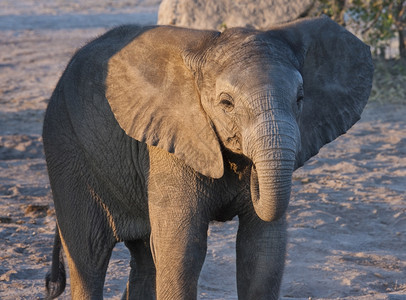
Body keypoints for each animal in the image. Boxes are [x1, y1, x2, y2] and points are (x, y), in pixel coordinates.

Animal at [42, 16, 372, 300]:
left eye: (300, 99)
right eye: (226, 103)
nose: (252, 175)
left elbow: (263, 248)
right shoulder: (170, 144)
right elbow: (182, 248)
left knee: (145, 258)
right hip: (65, 144)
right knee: (89, 255)